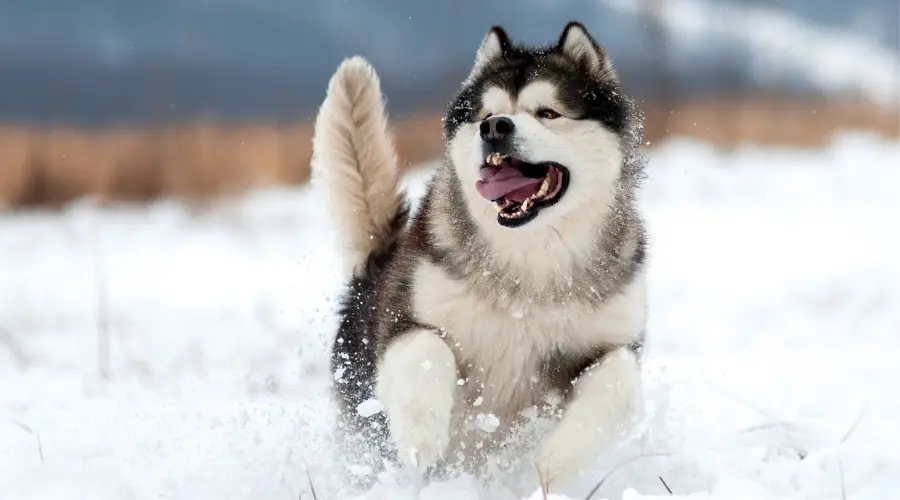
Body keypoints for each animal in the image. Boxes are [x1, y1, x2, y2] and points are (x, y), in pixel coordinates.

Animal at [310, 22, 648, 488]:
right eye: (485, 113)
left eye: (548, 113)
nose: (495, 127)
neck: (529, 261)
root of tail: (375, 266)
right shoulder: (407, 315)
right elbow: (426, 351)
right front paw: (422, 437)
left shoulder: (612, 339)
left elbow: (619, 381)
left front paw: (555, 461)